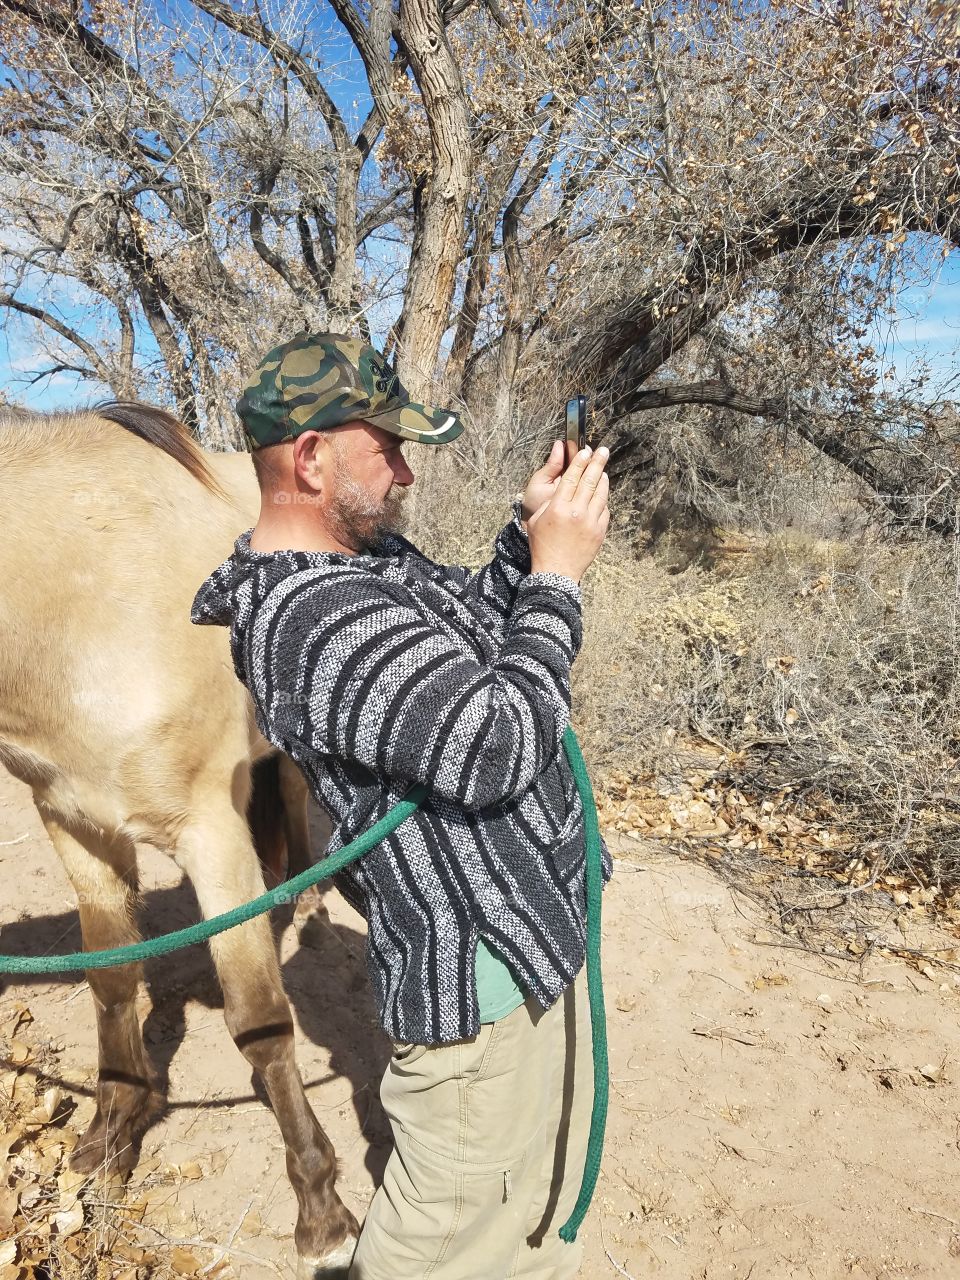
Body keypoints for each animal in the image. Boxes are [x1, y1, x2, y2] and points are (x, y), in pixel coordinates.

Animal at [0, 401, 358, 1280]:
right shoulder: (75, 824)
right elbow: (113, 978)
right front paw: (111, 1132)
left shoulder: (210, 834)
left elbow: (259, 1021)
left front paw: (320, 1208)